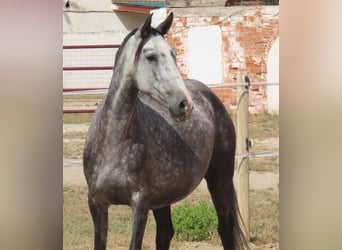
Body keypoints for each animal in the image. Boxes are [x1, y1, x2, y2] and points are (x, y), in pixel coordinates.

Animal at [83, 13, 248, 250]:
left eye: (173, 54)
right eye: (151, 57)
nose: (185, 104)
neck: (113, 143)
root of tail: (210, 96)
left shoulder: (140, 205)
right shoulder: (97, 203)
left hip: (220, 181)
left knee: (225, 228)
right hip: (163, 197)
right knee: (165, 232)